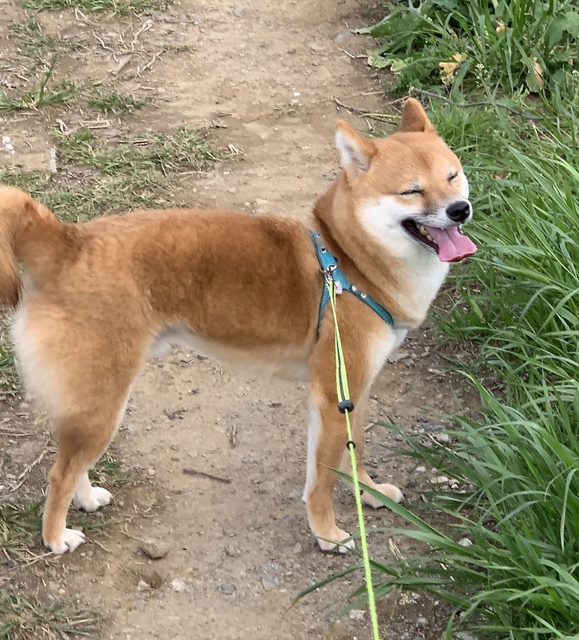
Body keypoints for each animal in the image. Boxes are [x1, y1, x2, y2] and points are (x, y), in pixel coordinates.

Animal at [0, 99, 476, 556]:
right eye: (412, 190)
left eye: (453, 176)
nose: (460, 209)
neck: (349, 262)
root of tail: (68, 242)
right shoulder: (330, 398)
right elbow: (321, 480)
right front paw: (327, 533)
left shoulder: (353, 393)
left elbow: (352, 456)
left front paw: (370, 494)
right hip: (103, 404)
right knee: (59, 472)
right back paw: (55, 537)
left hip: (92, 403)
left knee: (71, 459)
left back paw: (84, 499)